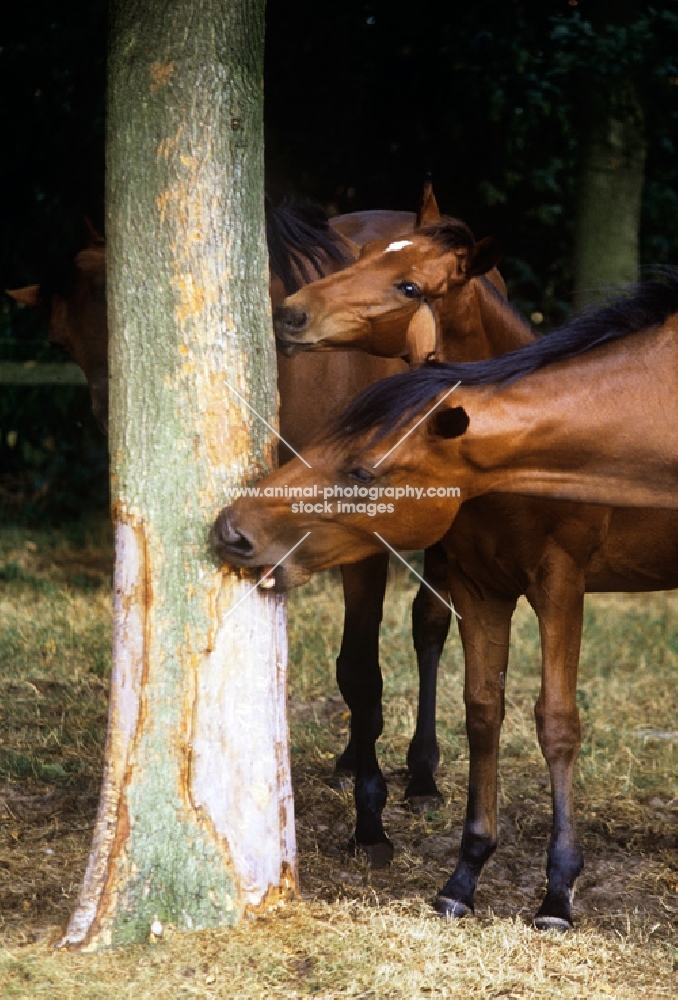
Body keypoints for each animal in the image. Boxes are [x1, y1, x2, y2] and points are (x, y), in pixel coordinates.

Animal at [5, 189, 454, 868]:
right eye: (62, 338)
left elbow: (362, 668)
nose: (114, 425)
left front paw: (370, 824)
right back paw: (353, 758)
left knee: (430, 626)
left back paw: (422, 774)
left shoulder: (365, 541)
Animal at [215, 268, 678, 928]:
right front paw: (466, 875)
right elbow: (483, 712)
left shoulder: (561, 583)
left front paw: (558, 892)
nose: (231, 529)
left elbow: (557, 723)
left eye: (362, 472)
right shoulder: (483, 589)